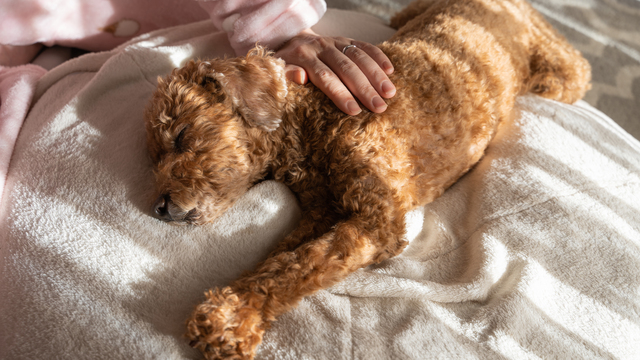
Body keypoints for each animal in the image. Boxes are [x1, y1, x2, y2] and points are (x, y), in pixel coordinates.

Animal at [144, 1, 592, 358]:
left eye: (181, 136)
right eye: (153, 158)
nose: (159, 208)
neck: (309, 122)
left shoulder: (377, 220)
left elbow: (299, 267)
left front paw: (226, 320)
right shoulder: (321, 212)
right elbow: (276, 262)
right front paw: (235, 308)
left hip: (558, 68)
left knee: (576, 69)